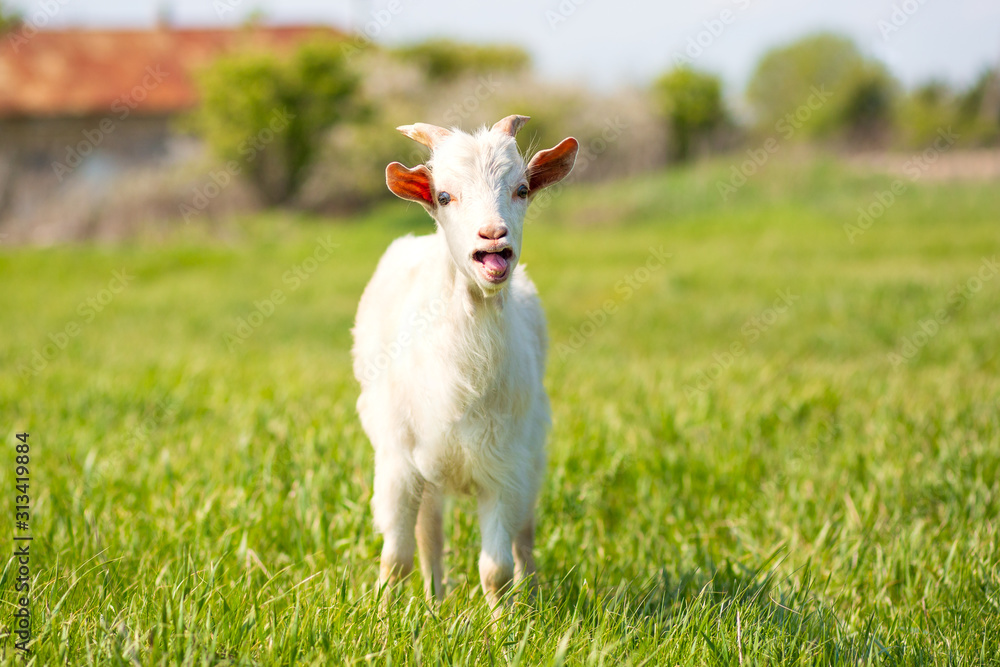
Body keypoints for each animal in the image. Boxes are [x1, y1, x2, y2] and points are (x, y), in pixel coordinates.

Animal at [351, 115, 578, 609]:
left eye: (522, 188)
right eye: (443, 196)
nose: (493, 236)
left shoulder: (504, 467)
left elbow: (496, 569)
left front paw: (504, 624)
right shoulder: (398, 463)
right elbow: (396, 558)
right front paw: (381, 619)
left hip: (531, 460)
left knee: (523, 538)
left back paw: (531, 596)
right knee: (429, 536)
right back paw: (435, 602)